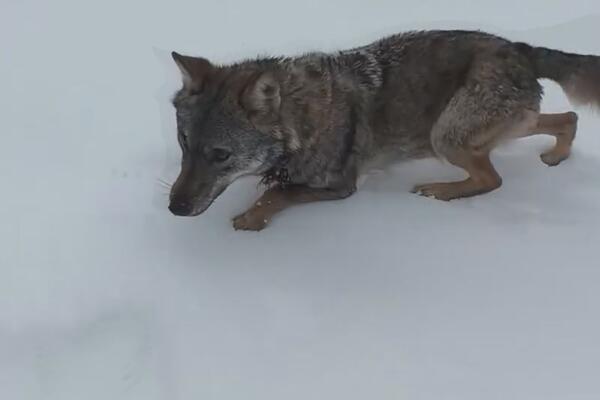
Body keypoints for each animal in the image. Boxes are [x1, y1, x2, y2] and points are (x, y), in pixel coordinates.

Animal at [166, 30, 600, 231]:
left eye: (220, 155)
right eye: (184, 143)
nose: (173, 209)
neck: (299, 121)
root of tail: (519, 46)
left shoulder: (341, 186)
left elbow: (276, 193)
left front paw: (251, 219)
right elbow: (273, 185)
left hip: (445, 135)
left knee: (492, 179)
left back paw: (439, 191)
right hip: (500, 125)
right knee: (568, 118)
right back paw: (556, 156)